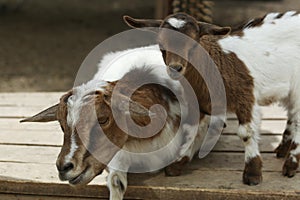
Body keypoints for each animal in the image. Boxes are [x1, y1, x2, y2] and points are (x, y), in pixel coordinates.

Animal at [123, 11, 300, 185]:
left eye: (194, 42)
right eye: (161, 43)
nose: (175, 68)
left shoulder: (246, 97)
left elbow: (246, 133)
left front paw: (252, 174)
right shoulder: (197, 102)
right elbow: (192, 130)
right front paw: (178, 163)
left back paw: (291, 164)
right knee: (292, 114)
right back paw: (283, 149)